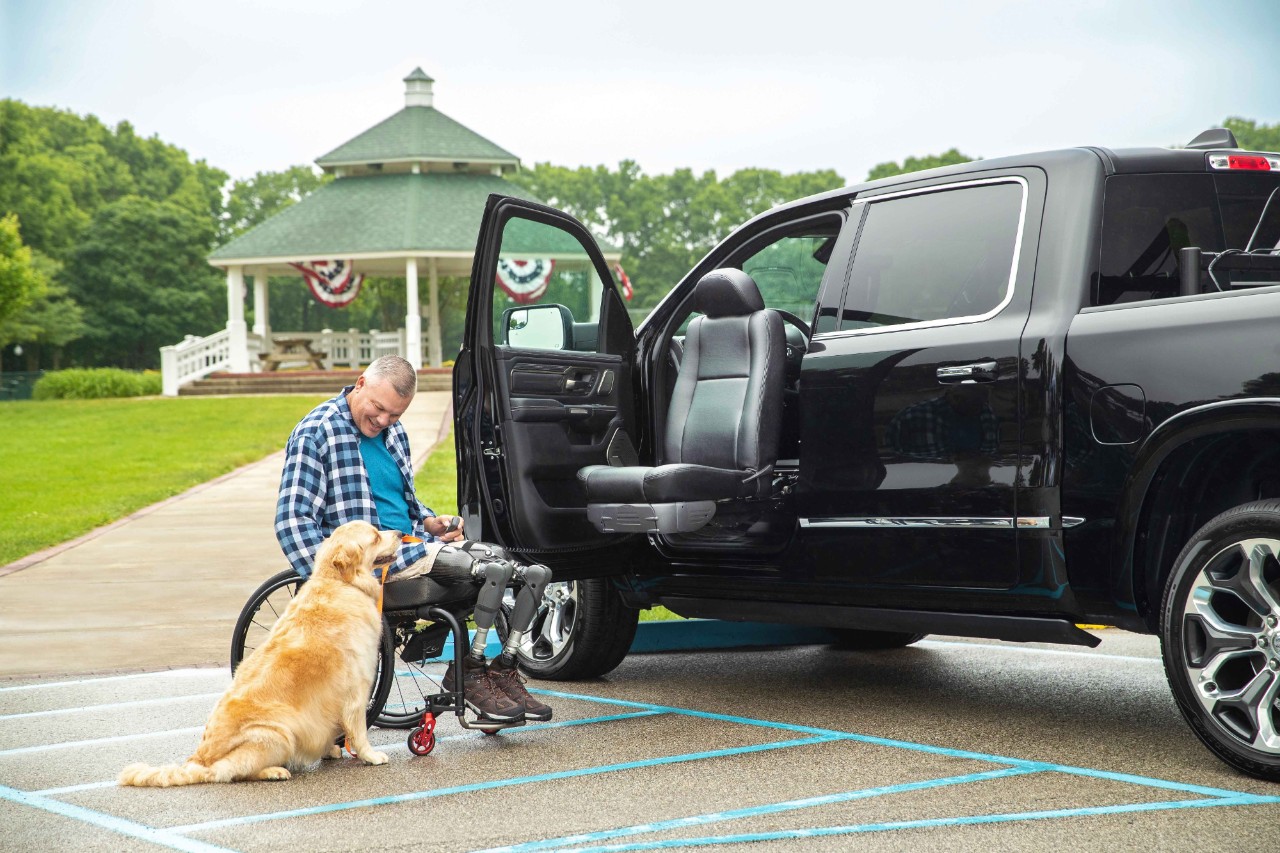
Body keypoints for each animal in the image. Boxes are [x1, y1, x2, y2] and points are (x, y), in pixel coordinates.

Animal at [120, 517, 399, 783]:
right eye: (375, 536)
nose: (399, 533)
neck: (342, 583)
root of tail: (199, 760)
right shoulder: (356, 689)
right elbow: (359, 730)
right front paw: (370, 756)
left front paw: (331, 749)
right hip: (278, 734)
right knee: (234, 771)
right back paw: (274, 771)